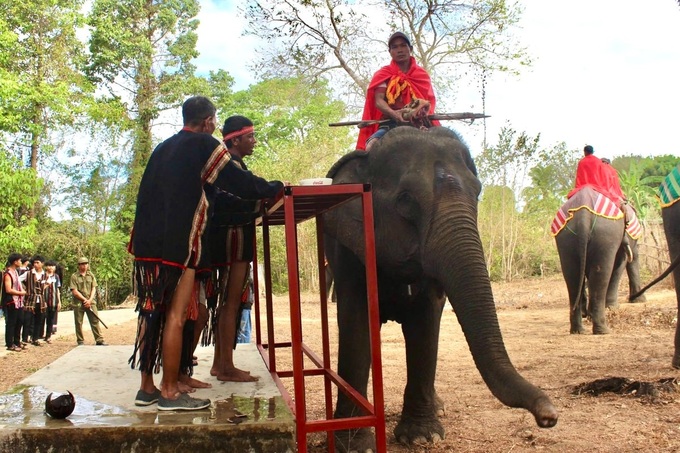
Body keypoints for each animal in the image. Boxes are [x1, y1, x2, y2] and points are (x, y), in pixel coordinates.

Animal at [324, 125, 556, 450]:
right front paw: (356, 445)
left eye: (478, 193)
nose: (549, 417)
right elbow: (356, 324)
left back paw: (438, 408)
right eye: (405, 199)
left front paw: (422, 437)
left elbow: (425, 324)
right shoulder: (347, 251)